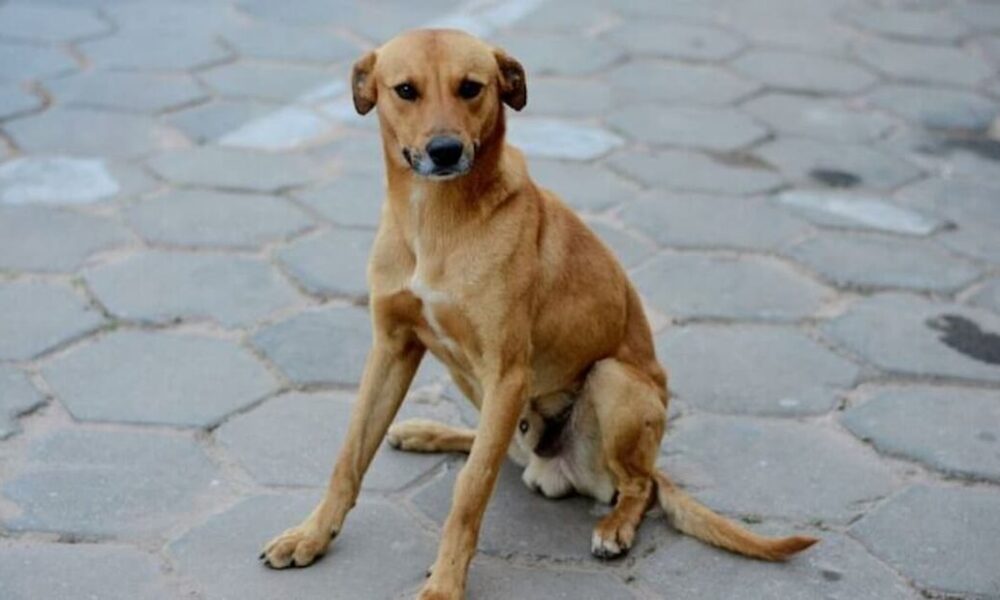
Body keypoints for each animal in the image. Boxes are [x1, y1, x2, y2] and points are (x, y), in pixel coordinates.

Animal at [260, 29, 817, 599]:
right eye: (406, 90)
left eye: (471, 87)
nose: (445, 150)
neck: (436, 221)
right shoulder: (392, 348)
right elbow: (349, 456)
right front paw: (311, 535)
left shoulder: (508, 373)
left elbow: (471, 487)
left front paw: (445, 583)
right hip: (475, 381)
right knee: (498, 445)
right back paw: (427, 432)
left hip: (613, 382)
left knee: (635, 484)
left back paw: (616, 525)